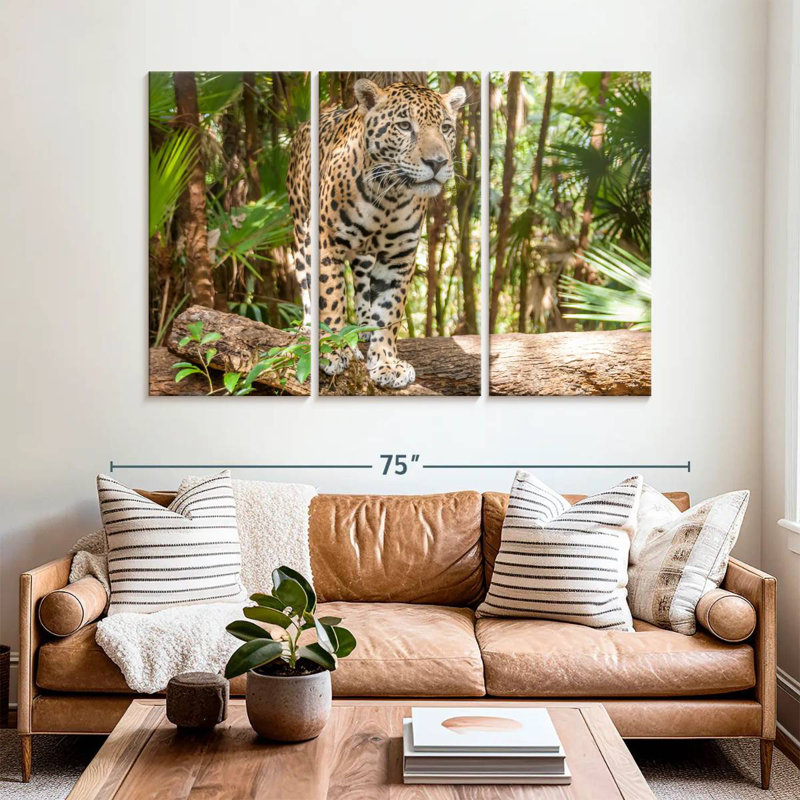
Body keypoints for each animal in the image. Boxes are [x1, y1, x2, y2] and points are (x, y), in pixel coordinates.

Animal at [287, 79, 466, 388]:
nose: (438, 162)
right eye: (404, 126)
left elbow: (389, 309)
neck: (389, 197)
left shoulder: (399, 256)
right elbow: (330, 296)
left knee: (361, 284)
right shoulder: (325, 241)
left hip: (364, 255)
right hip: (300, 233)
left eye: (445, 127)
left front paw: (386, 362)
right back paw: (309, 328)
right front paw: (332, 350)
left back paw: (364, 328)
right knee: (306, 284)